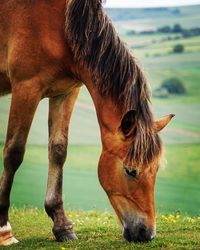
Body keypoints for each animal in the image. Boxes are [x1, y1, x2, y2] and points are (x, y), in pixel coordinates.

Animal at [0, 0, 173, 246]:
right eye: (130, 171)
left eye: (156, 170)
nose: (147, 233)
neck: (60, 26)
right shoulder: (26, 88)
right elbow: (13, 153)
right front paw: (4, 229)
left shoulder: (65, 92)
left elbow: (58, 151)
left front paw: (62, 225)